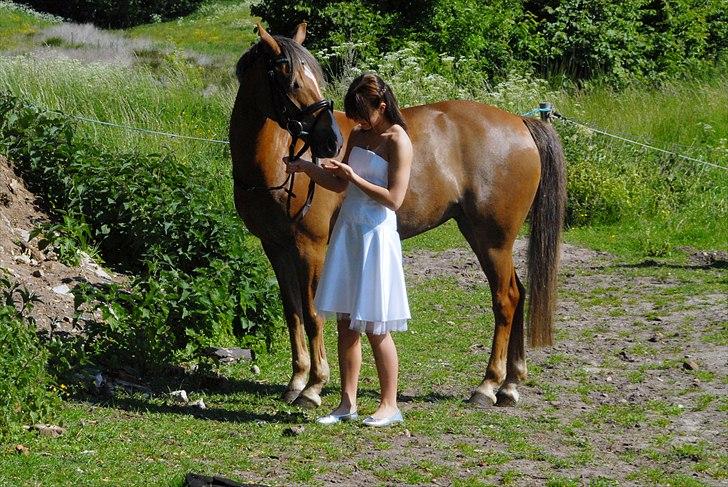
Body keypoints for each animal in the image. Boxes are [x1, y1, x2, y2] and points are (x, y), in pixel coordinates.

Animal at [230, 24, 564, 410]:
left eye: (313, 77)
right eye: (293, 82)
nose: (331, 142)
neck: (276, 160)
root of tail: (521, 123)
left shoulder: (308, 247)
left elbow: (313, 314)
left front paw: (313, 387)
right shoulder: (276, 247)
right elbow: (293, 313)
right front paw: (297, 380)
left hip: (493, 240)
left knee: (506, 299)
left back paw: (488, 385)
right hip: (482, 236)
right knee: (519, 294)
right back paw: (510, 384)